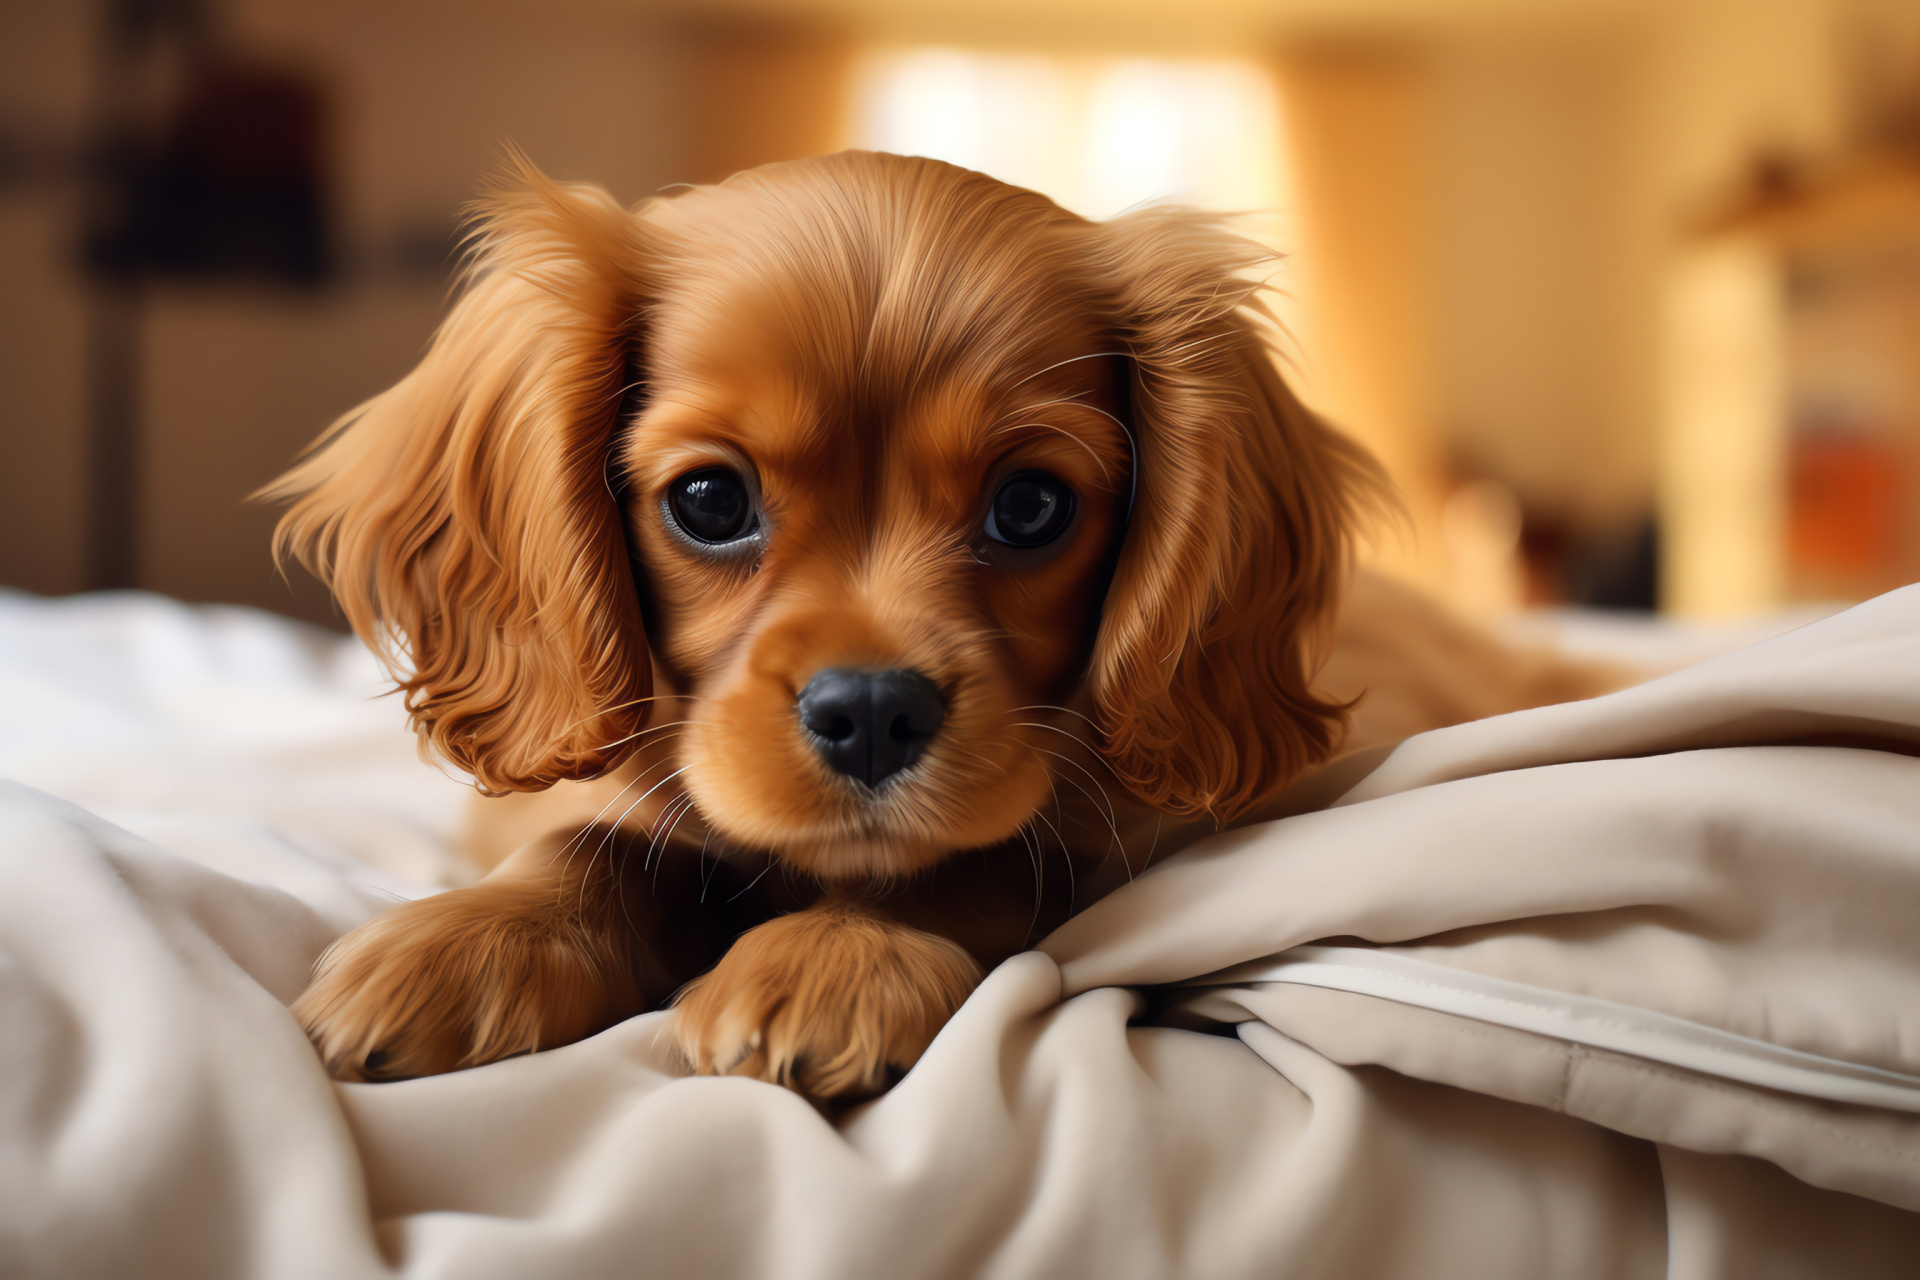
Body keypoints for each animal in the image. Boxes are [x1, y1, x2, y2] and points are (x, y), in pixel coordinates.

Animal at [270, 152, 1612, 1105]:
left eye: (1030, 507)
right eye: (709, 500)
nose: (871, 712)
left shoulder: (1119, 840)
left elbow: (970, 862)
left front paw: (831, 958)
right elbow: (592, 841)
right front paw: (468, 940)